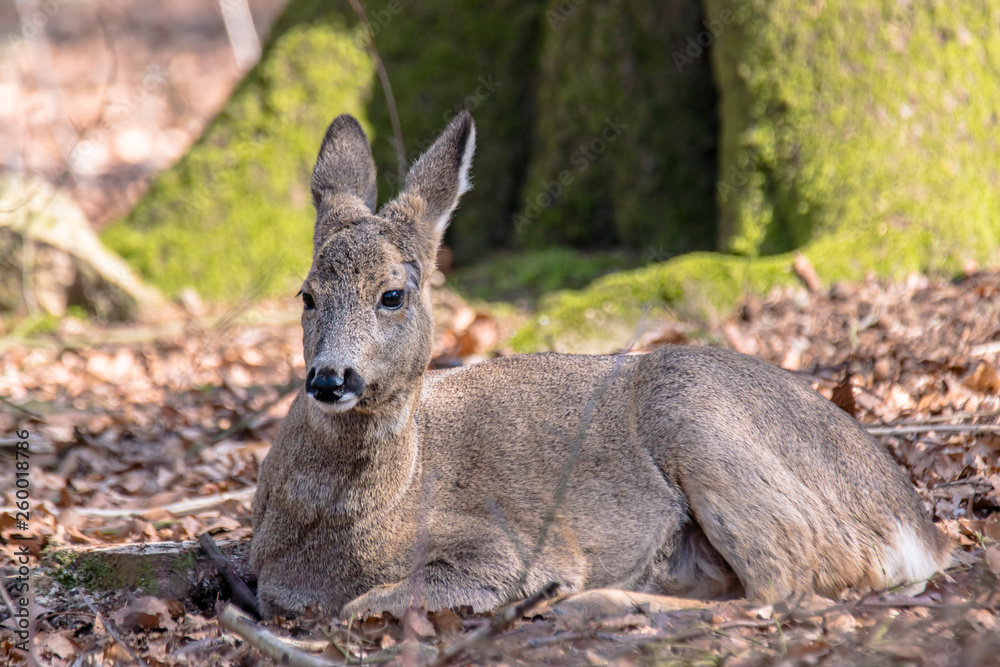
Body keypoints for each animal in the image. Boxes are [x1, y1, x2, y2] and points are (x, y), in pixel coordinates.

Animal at [248, 111, 944, 620]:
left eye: (392, 294)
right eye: (306, 295)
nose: (330, 378)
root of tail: (918, 531)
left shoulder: (511, 545)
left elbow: (367, 604)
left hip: (699, 420)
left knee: (782, 589)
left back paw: (591, 600)